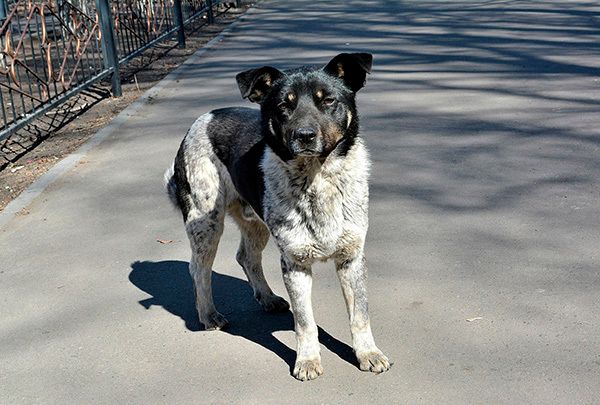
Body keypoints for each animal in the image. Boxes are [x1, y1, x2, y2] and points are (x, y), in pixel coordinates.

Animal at [164, 51, 392, 378]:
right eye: (284, 105)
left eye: (328, 101)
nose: (305, 135)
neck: (316, 178)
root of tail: (202, 118)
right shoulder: (295, 263)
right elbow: (305, 322)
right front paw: (307, 360)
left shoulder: (351, 258)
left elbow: (359, 314)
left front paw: (368, 354)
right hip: (206, 223)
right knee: (199, 270)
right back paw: (208, 315)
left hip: (255, 222)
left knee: (246, 256)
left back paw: (268, 298)